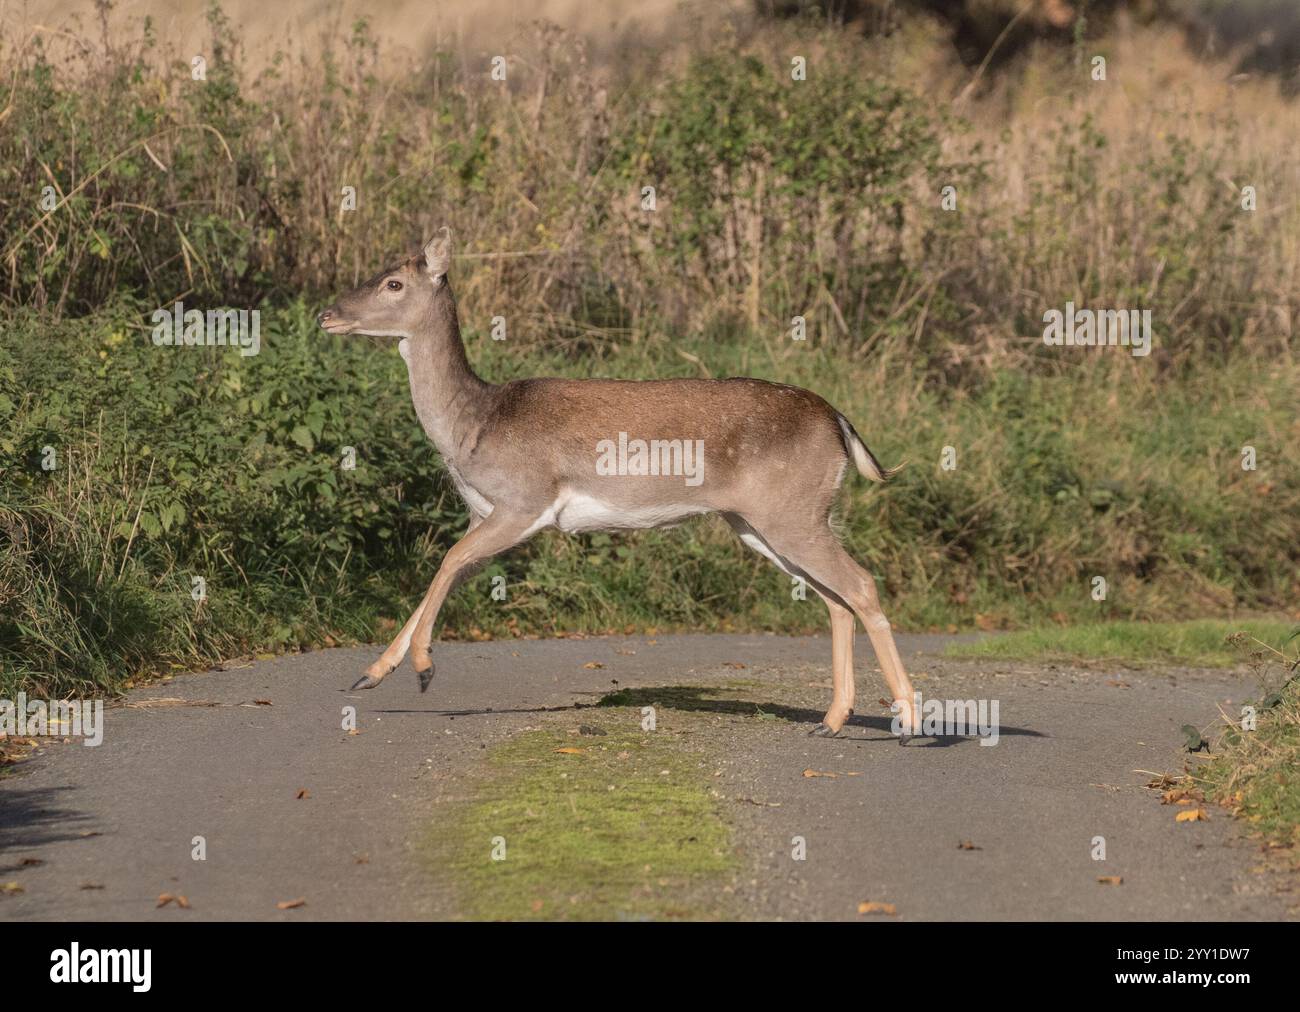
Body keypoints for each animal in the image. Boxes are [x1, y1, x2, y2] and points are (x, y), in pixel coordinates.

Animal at [318, 226, 920, 733]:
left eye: (393, 283)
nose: (326, 315)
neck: (474, 425)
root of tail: (839, 421)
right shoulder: (485, 512)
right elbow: (443, 573)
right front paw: (370, 674)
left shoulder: (524, 500)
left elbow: (445, 561)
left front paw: (423, 667)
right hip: (760, 520)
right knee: (834, 599)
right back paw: (832, 720)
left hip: (791, 510)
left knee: (860, 585)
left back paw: (909, 720)